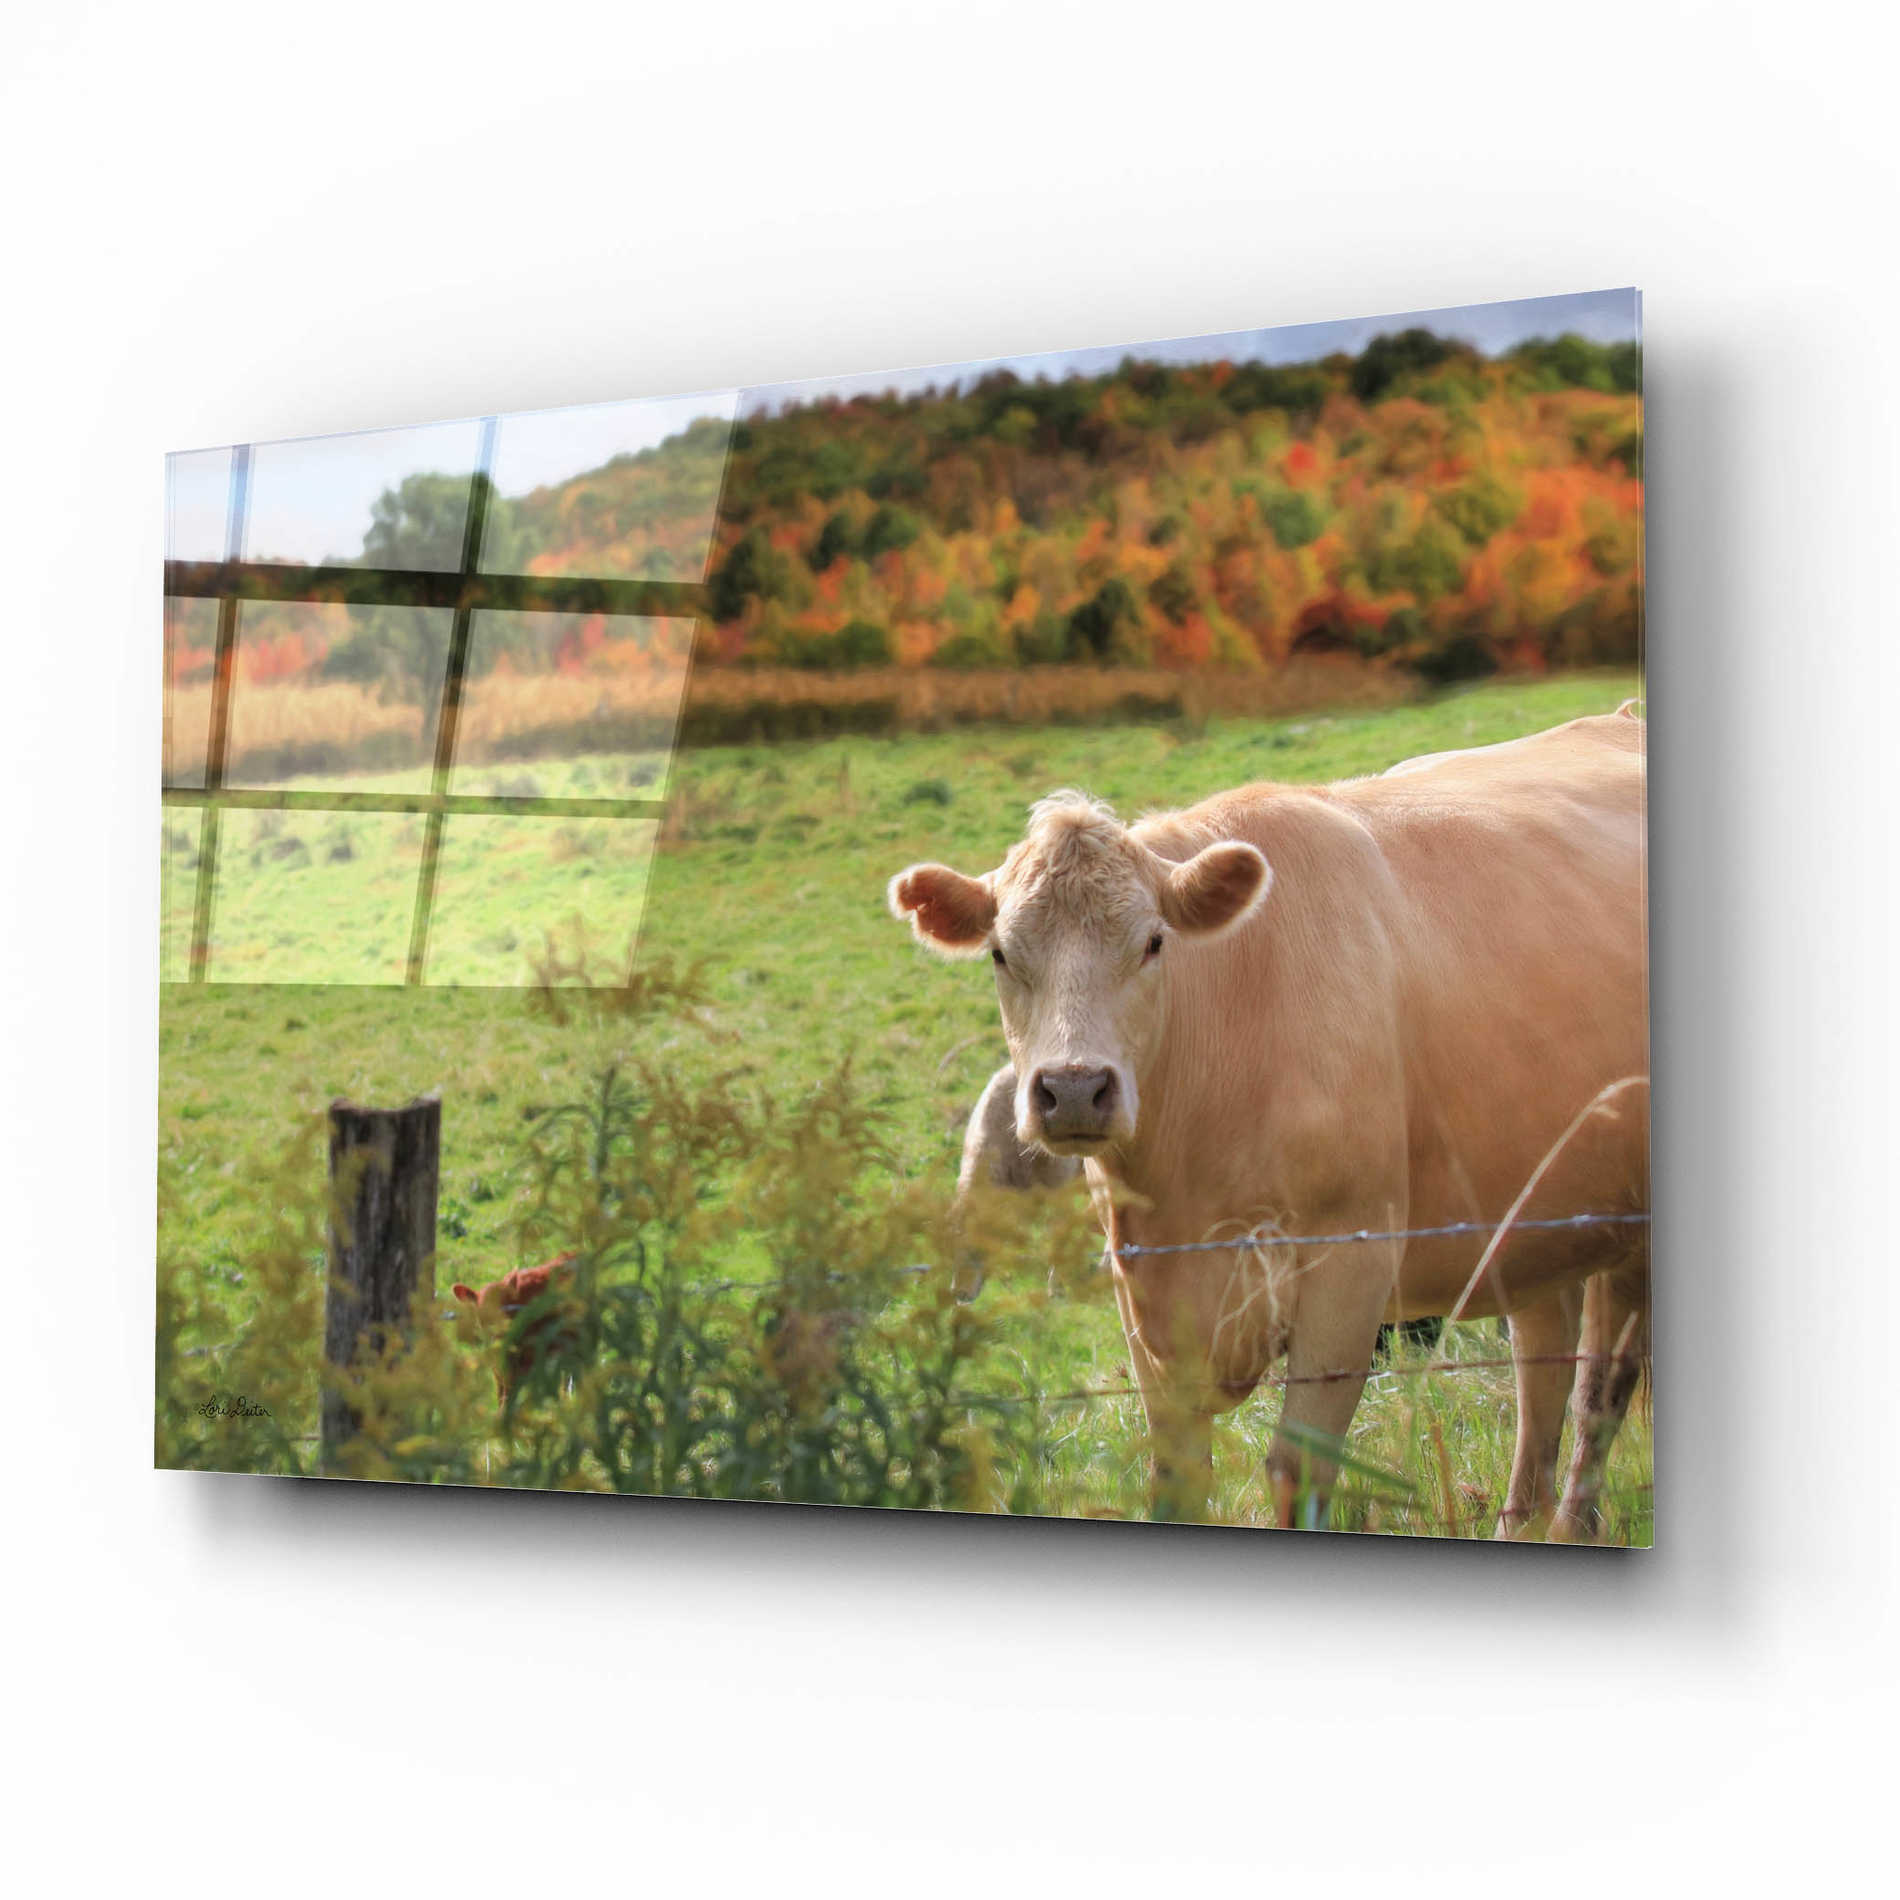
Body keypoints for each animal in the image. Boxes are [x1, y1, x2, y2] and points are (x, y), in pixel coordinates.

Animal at [889, 707, 1648, 1536]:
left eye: (1153, 943)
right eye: (1000, 953)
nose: (1075, 1088)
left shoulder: (1351, 1267)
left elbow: (1298, 1470)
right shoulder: (1144, 1293)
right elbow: (1177, 1476)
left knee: (1601, 1387)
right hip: (1538, 1223)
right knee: (1543, 1368)